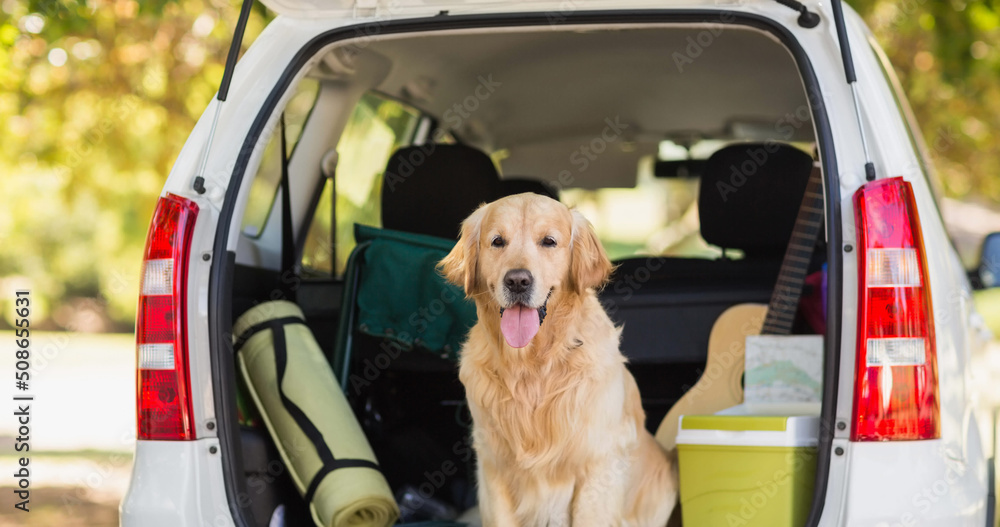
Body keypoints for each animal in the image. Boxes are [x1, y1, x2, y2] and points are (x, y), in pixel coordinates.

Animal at [440, 194, 680, 527]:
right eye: (498, 241)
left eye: (549, 241)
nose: (517, 281)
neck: (533, 366)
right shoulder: (494, 468)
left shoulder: (598, 467)